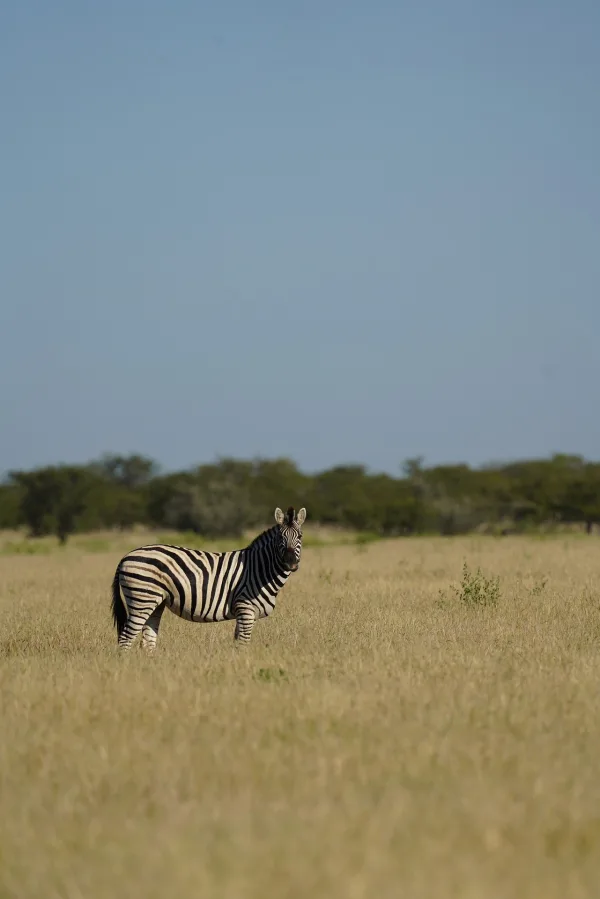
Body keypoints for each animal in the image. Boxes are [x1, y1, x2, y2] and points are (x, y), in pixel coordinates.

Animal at [110, 506, 307, 651]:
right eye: (280, 538)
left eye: (300, 536)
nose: (291, 564)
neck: (260, 569)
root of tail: (126, 556)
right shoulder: (245, 609)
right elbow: (243, 645)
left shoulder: (242, 613)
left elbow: (236, 643)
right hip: (142, 598)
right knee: (125, 639)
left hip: (155, 602)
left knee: (147, 641)